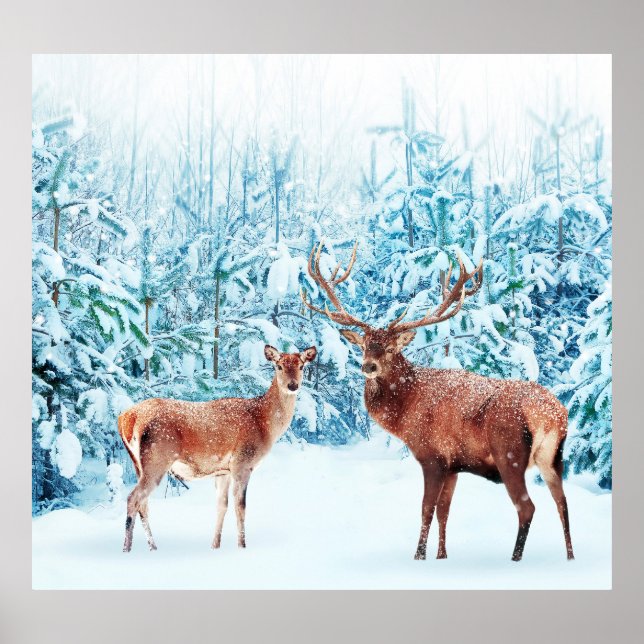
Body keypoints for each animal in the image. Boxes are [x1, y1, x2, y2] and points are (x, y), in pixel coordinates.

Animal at [117, 344, 317, 552]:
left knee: (143, 504)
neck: (264, 424)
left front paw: (215, 546)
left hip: (138, 464)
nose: (293, 385)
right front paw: (242, 546)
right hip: (157, 457)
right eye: (279, 366)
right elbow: (240, 506)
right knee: (133, 498)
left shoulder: (223, 471)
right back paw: (127, 549)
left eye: (301, 366)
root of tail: (126, 418)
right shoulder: (242, 462)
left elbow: (222, 506)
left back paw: (153, 547)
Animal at [301, 240, 573, 563]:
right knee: (563, 503)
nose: (368, 366)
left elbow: (426, 509)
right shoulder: (454, 465)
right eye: (365, 345)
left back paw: (515, 559)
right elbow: (445, 511)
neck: (405, 411)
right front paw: (442, 556)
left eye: (391, 348)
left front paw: (419, 557)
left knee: (527, 507)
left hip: (509, 453)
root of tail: (553, 413)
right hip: (553, 458)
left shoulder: (432, 456)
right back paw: (570, 557)